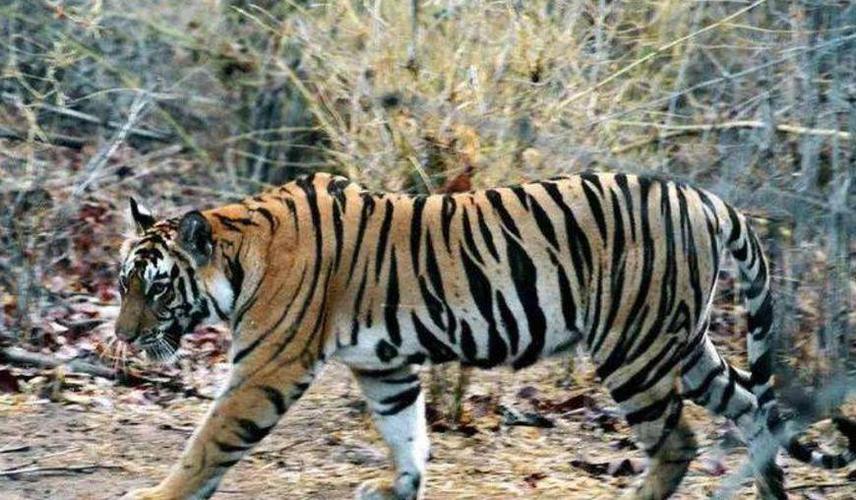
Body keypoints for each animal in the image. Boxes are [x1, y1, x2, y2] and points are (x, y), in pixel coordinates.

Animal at [115, 172, 856, 500]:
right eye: (122, 283)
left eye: (155, 288)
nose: (121, 337)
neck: (242, 252)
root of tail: (706, 198)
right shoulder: (384, 366)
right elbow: (407, 432)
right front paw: (397, 488)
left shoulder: (269, 366)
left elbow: (208, 443)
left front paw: (155, 497)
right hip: (687, 345)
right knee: (756, 412)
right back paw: (769, 494)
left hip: (634, 349)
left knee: (678, 443)